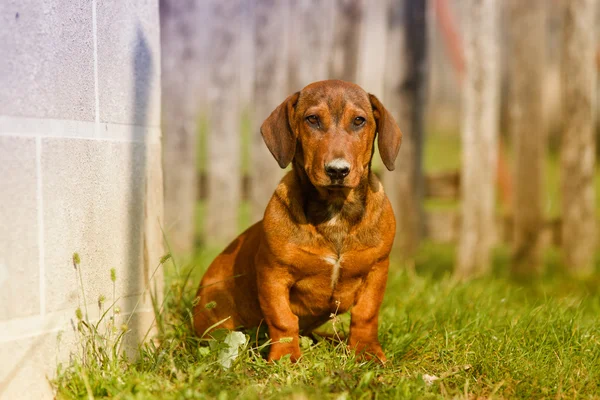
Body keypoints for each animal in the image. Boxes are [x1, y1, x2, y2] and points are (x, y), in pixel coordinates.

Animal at [196, 79, 404, 364]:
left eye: (359, 120)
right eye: (312, 119)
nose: (337, 170)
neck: (335, 211)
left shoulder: (377, 270)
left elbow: (366, 314)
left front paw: (367, 351)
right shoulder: (273, 275)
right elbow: (283, 319)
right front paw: (285, 356)